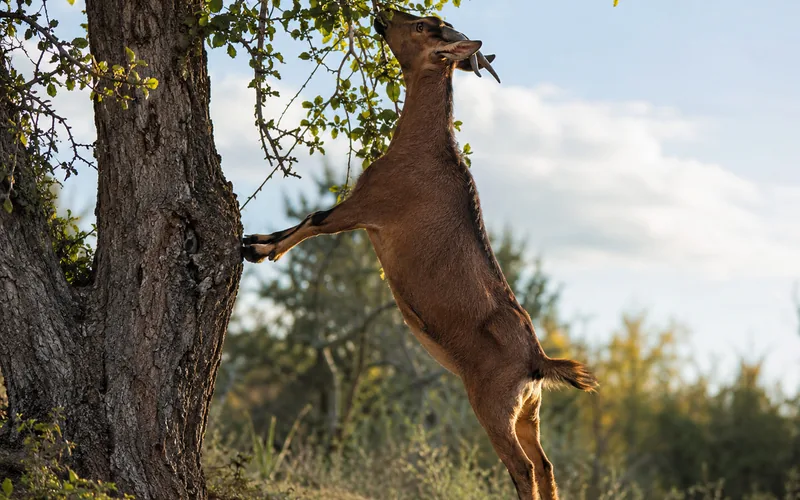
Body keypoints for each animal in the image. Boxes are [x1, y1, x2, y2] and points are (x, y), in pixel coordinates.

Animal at [242, 9, 598, 500]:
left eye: (422, 28)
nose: (382, 14)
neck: (425, 149)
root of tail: (537, 362)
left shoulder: (364, 208)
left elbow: (313, 218)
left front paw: (256, 249)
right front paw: (253, 242)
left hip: (492, 409)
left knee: (523, 468)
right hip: (529, 413)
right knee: (545, 466)